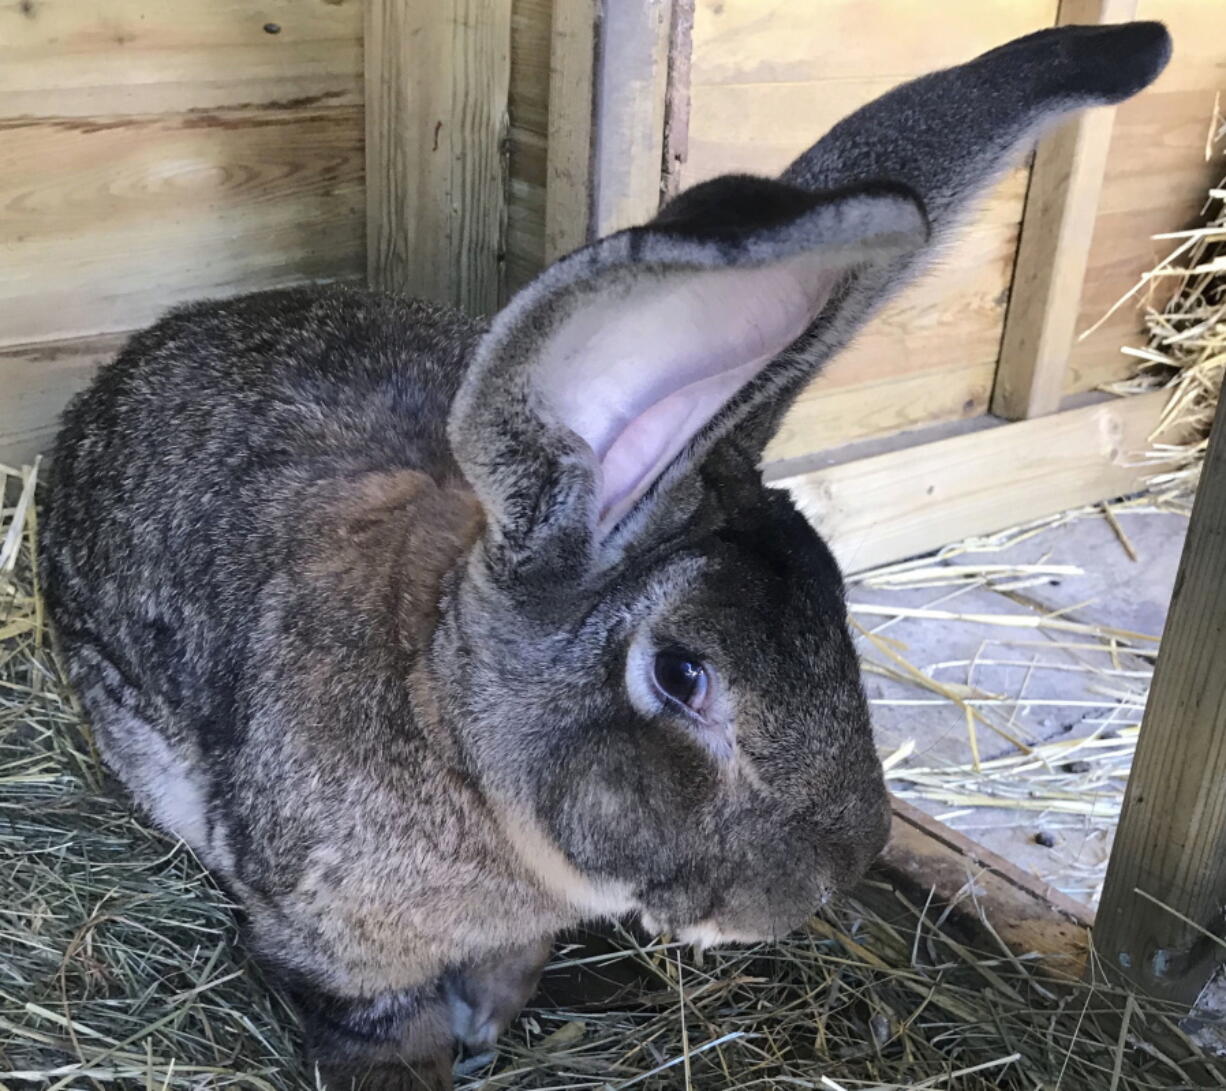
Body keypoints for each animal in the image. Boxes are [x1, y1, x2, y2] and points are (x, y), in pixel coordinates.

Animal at [35, 19, 1167, 1088]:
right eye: (682, 673)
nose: (827, 878)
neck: (446, 724)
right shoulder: (337, 951)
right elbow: (379, 1029)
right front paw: (443, 1056)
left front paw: (486, 1031)